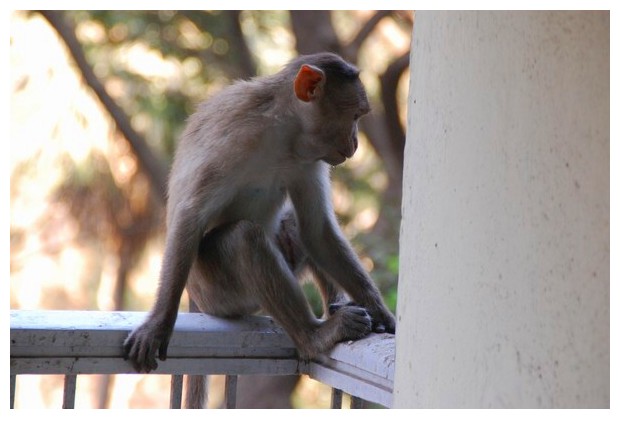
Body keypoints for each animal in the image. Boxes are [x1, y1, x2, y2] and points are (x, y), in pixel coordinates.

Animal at [124, 52, 398, 398]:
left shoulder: (308, 158)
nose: (356, 142)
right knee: (244, 237)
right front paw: (158, 324)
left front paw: (383, 314)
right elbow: (190, 215)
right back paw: (314, 336)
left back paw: (334, 312)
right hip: (214, 290)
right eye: (354, 115)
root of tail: (196, 298)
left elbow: (317, 229)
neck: (284, 133)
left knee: (294, 226)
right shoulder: (235, 136)